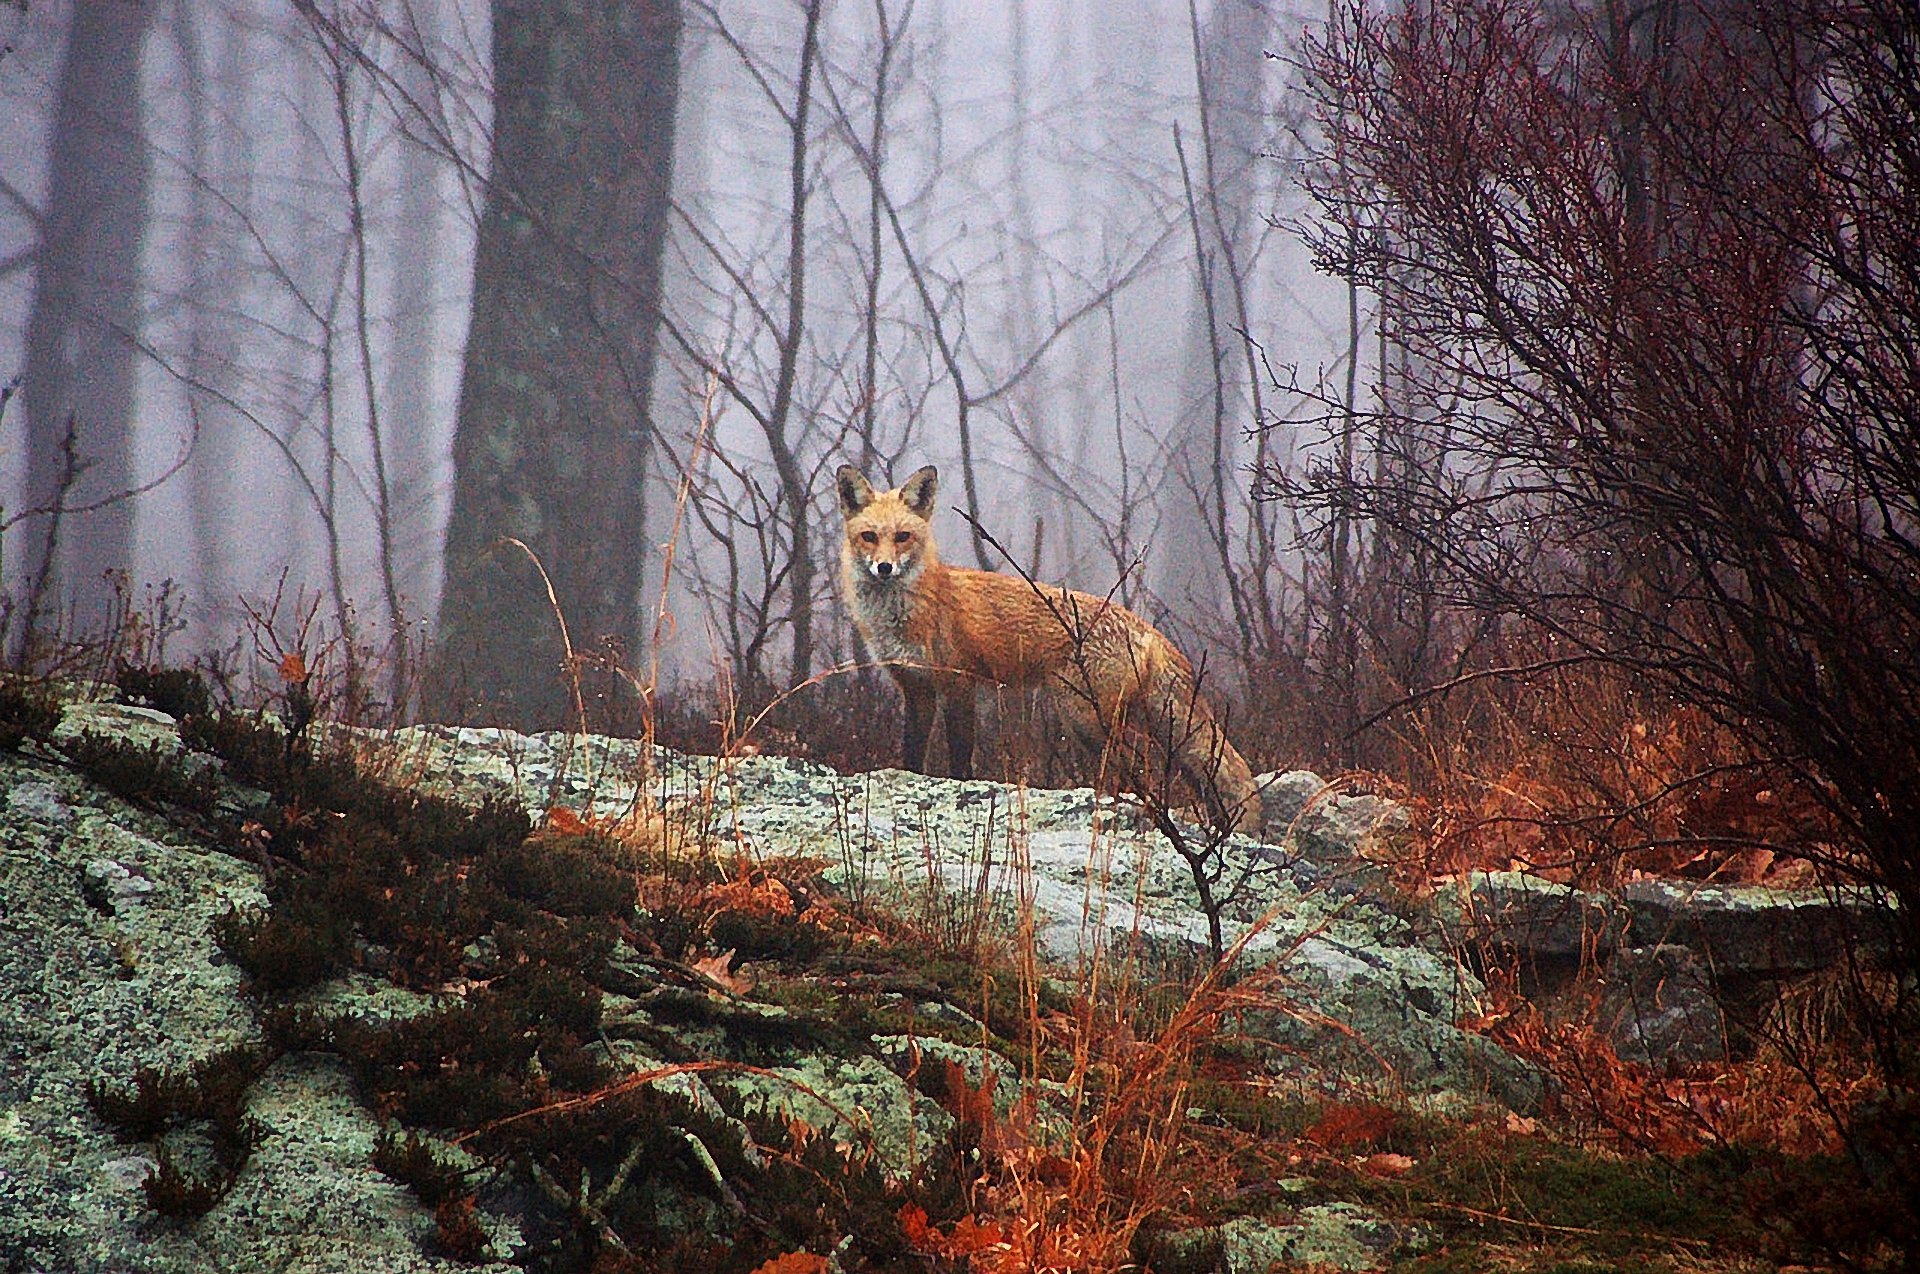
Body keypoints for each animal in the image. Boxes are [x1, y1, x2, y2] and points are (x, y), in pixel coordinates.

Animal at [837, 462, 1259, 832]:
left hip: (1085, 719)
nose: (884, 568)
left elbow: (960, 758)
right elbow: (912, 754)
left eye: (903, 537)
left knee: (1142, 768)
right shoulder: (916, 688)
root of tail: (1144, 626)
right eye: (869, 536)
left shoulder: (959, 683)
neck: (907, 613)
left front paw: (962, 792)